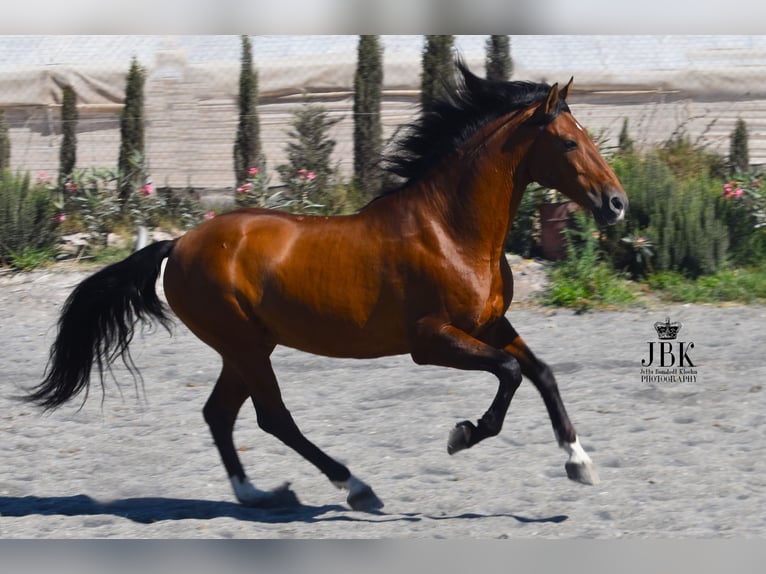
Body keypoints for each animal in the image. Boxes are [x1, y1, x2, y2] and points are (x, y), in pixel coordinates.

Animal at [28, 62, 632, 512]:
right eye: (568, 143)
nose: (617, 204)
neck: (451, 229)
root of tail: (176, 245)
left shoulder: (489, 323)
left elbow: (541, 372)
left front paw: (579, 462)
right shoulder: (430, 340)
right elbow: (508, 373)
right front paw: (462, 435)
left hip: (246, 347)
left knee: (220, 414)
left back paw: (257, 493)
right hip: (245, 345)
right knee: (272, 417)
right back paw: (356, 487)